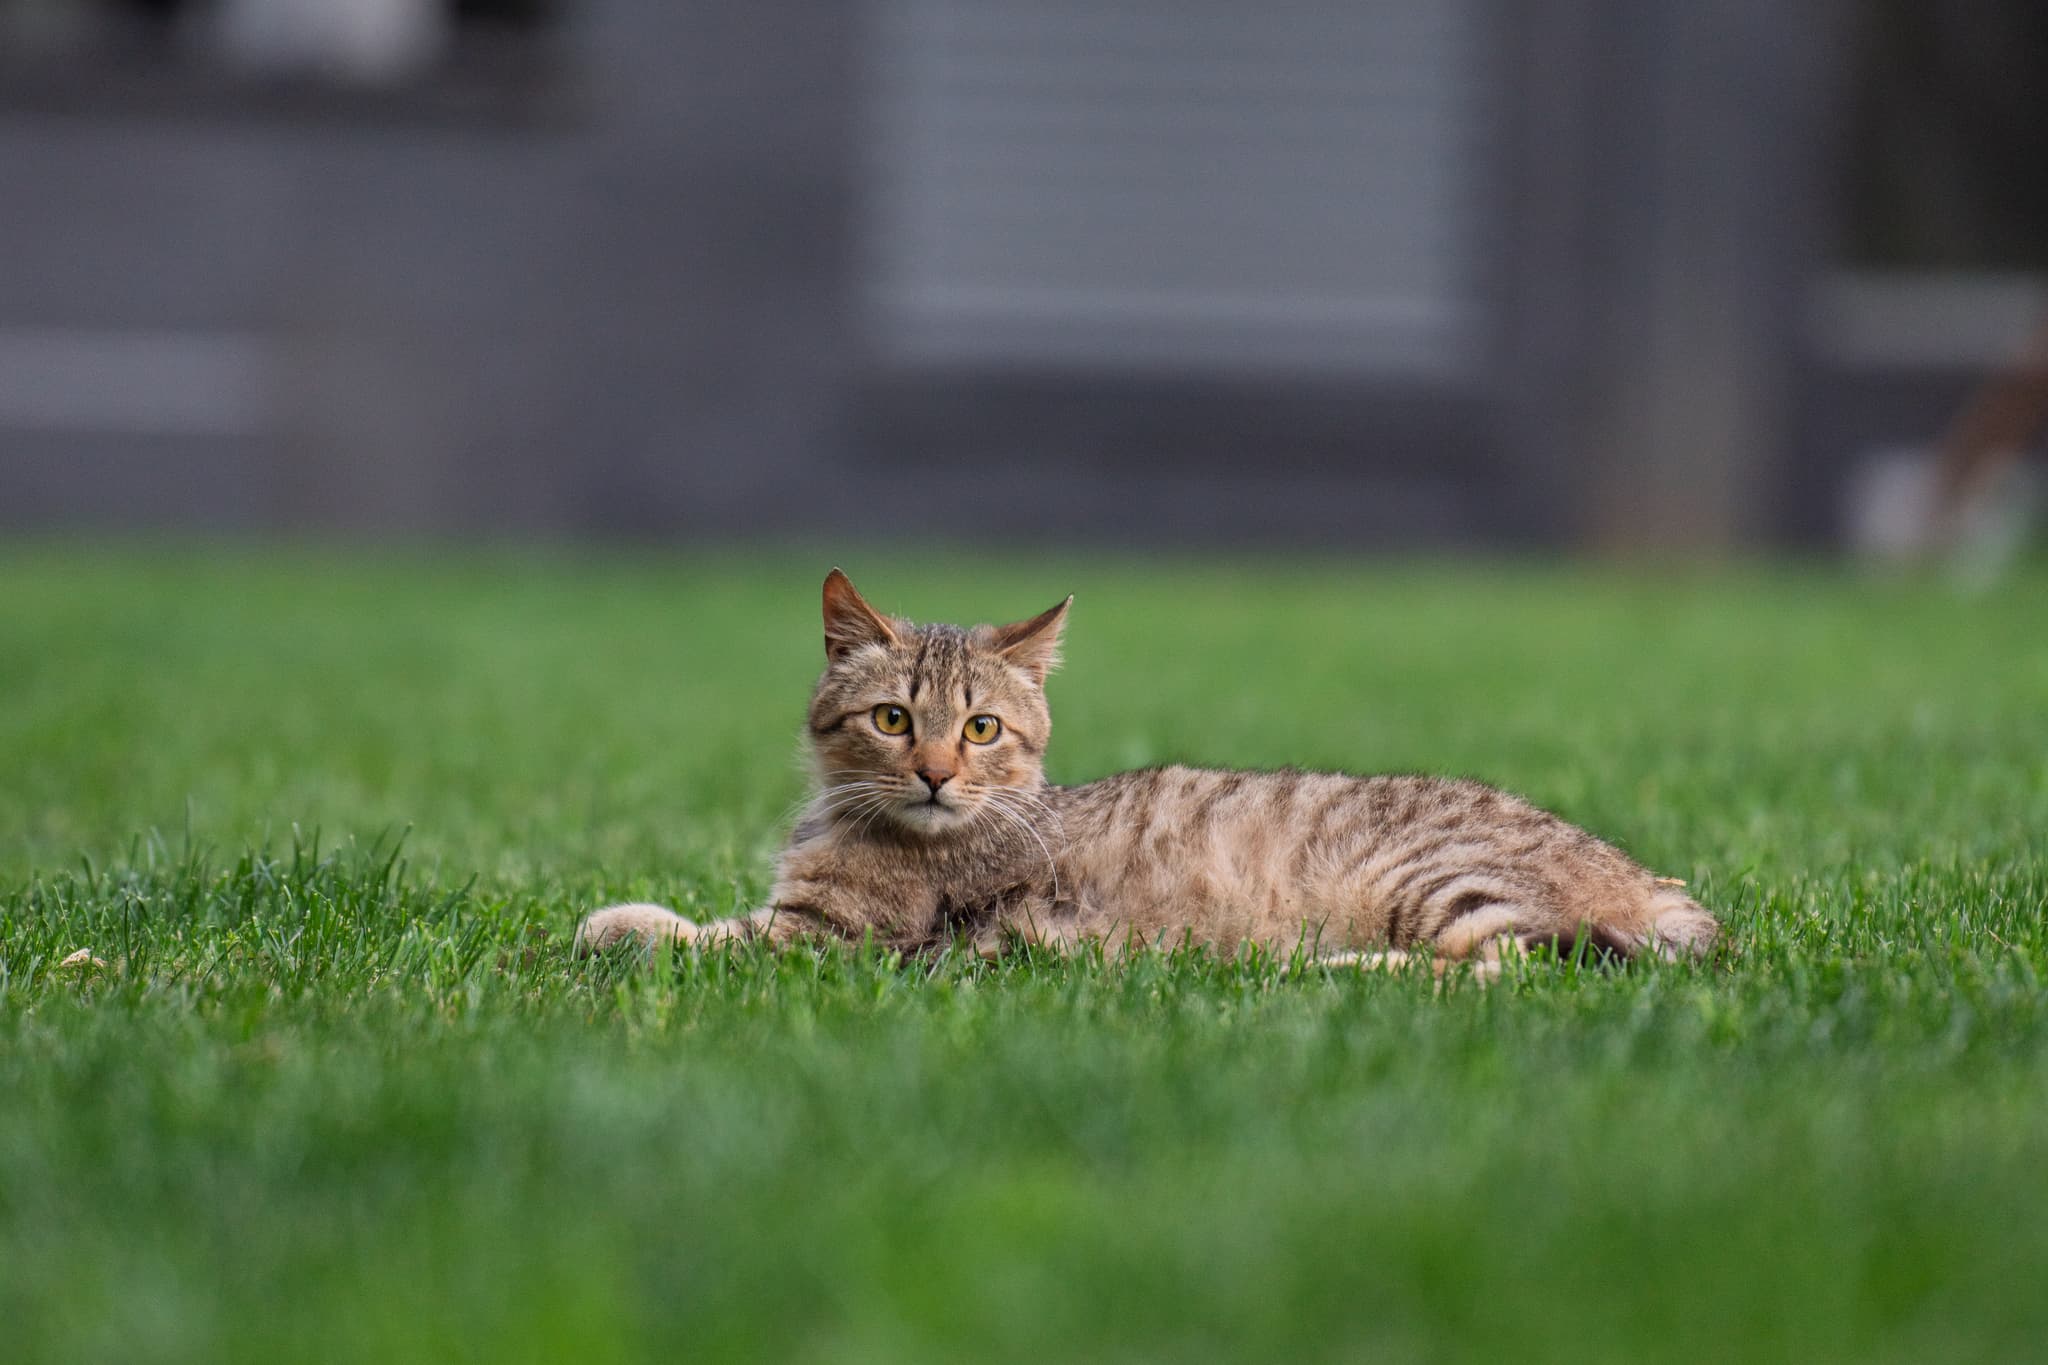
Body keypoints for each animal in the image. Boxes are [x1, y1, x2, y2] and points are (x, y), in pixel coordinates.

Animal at [577, 573, 1712, 978]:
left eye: (980, 728)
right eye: (894, 719)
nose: (936, 774)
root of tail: (1650, 878)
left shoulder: (828, 941)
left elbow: (690, 934)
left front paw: (610, 923)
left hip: (1443, 885)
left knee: (1509, 968)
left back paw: (1316, 969)